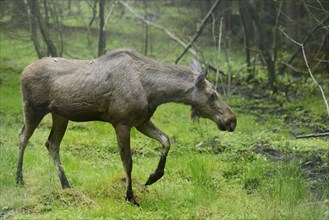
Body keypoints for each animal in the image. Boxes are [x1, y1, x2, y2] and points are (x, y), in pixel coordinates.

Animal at [16, 47, 236, 205]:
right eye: (212, 94)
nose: (232, 120)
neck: (155, 91)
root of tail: (23, 71)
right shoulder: (122, 122)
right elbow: (127, 161)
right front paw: (130, 196)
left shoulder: (141, 121)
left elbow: (166, 140)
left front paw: (153, 176)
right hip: (33, 108)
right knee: (23, 137)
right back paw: (19, 178)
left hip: (60, 115)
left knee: (52, 144)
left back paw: (66, 185)